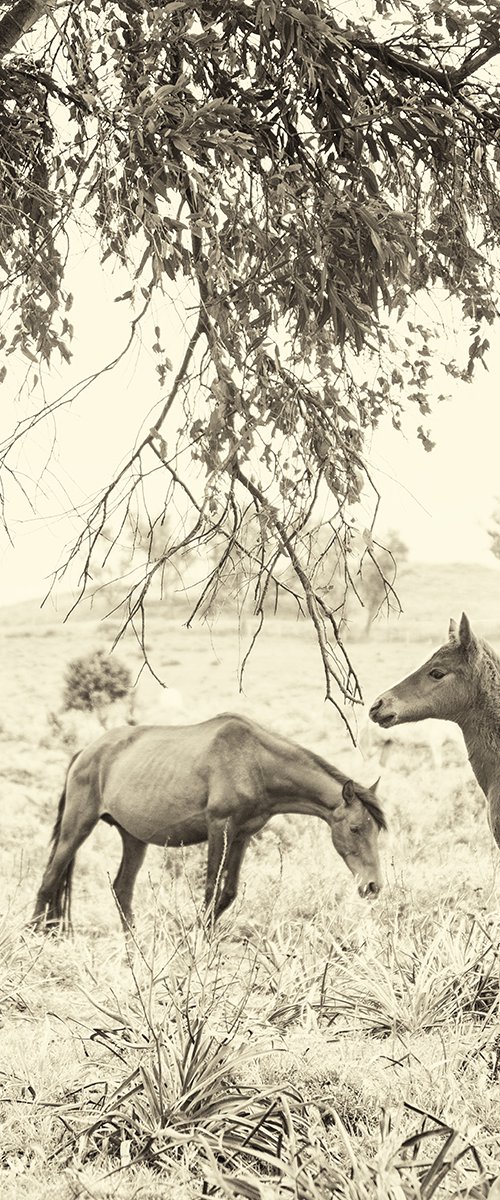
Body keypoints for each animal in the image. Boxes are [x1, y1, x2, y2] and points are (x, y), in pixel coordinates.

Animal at [32, 710, 386, 926]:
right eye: (355, 828)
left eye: (376, 833)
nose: (373, 886)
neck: (254, 762)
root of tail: (86, 751)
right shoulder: (219, 828)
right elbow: (211, 891)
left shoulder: (242, 836)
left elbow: (226, 894)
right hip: (78, 826)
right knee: (49, 879)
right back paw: (35, 939)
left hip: (133, 839)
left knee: (121, 891)